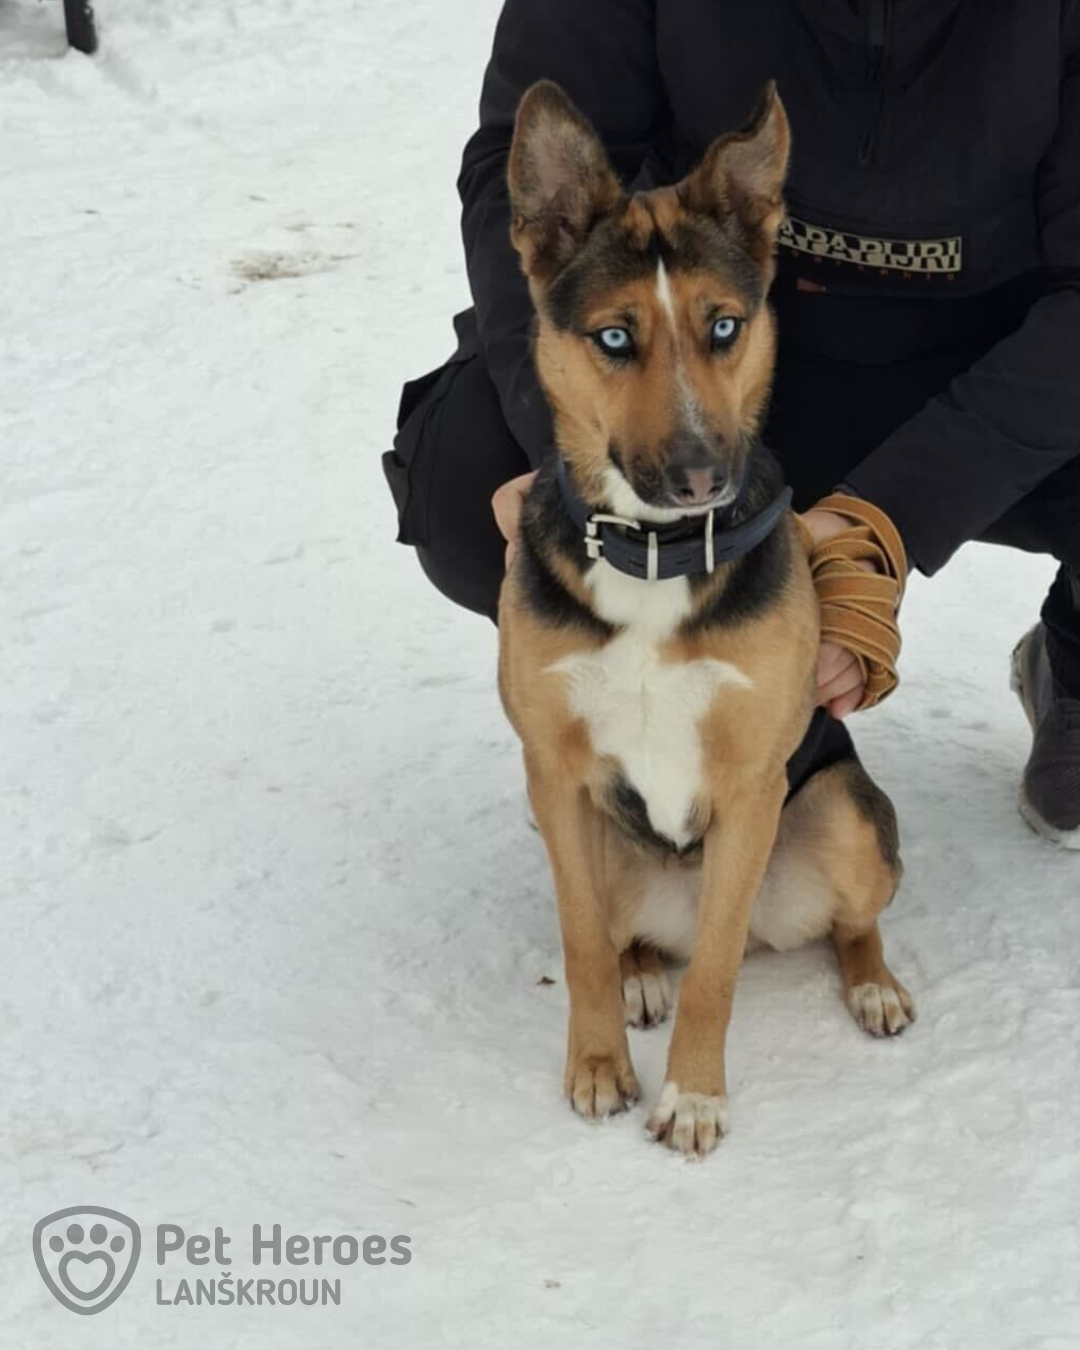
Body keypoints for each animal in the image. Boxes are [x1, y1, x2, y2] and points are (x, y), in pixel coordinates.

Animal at [497, 79, 914, 1158]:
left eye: (725, 327)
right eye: (614, 338)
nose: (699, 476)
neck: (657, 550)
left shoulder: (751, 785)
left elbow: (718, 973)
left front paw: (691, 1096)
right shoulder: (555, 772)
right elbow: (581, 944)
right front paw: (600, 1066)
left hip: (840, 816)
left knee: (846, 922)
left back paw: (876, 987)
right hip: (603, 835)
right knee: (625, 937)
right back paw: (646, 970)